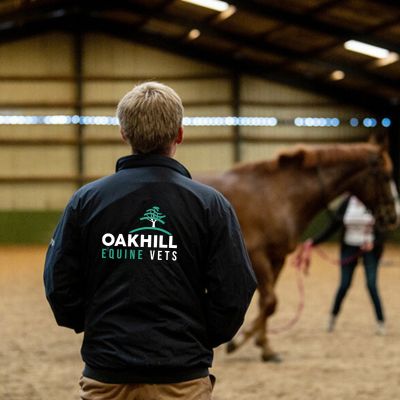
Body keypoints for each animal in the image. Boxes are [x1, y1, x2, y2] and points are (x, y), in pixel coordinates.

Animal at [198, 142, 398, 360]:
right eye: (386, 176)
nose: (391, 217)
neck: (278, 194)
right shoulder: (257, 256)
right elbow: (270, 302)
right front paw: (239, 340)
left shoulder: (277, 258)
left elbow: (266, 303)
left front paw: (266, 349)